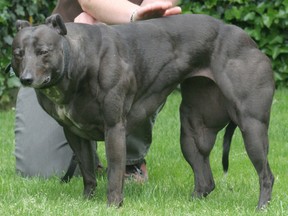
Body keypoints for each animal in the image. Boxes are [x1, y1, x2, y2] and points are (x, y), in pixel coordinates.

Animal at [12, 13, 276, 208]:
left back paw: (261, 207)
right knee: (206, 181)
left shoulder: (114, 129)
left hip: (252, 126)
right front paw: (86, 201)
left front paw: (113, 205)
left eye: (44, 52)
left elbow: (115, 173)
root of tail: (248, 40)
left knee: (266, 175)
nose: (26, 79)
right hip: (193, 133)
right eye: (18, 53)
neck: (79, 59)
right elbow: (87, 171)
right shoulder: (75, 133)